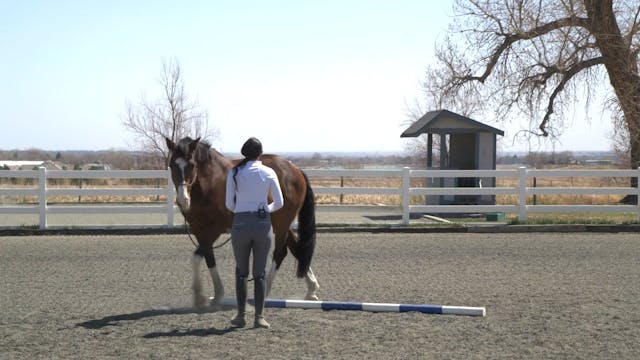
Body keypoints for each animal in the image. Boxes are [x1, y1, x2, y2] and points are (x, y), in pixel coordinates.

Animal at [165, 135, 320, 306]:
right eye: (172, 165)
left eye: (192, 165)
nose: (182, 200)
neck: (209, 184)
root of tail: (295, 170)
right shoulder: (198, 229)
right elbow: (207, 258)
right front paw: (211, 295)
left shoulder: (215, 229)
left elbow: (199, 256)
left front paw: (206, 295)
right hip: (282, 223)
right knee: (297, 249)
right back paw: (311, 289)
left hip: (282, 223)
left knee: (280, 253)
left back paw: (266, 291)